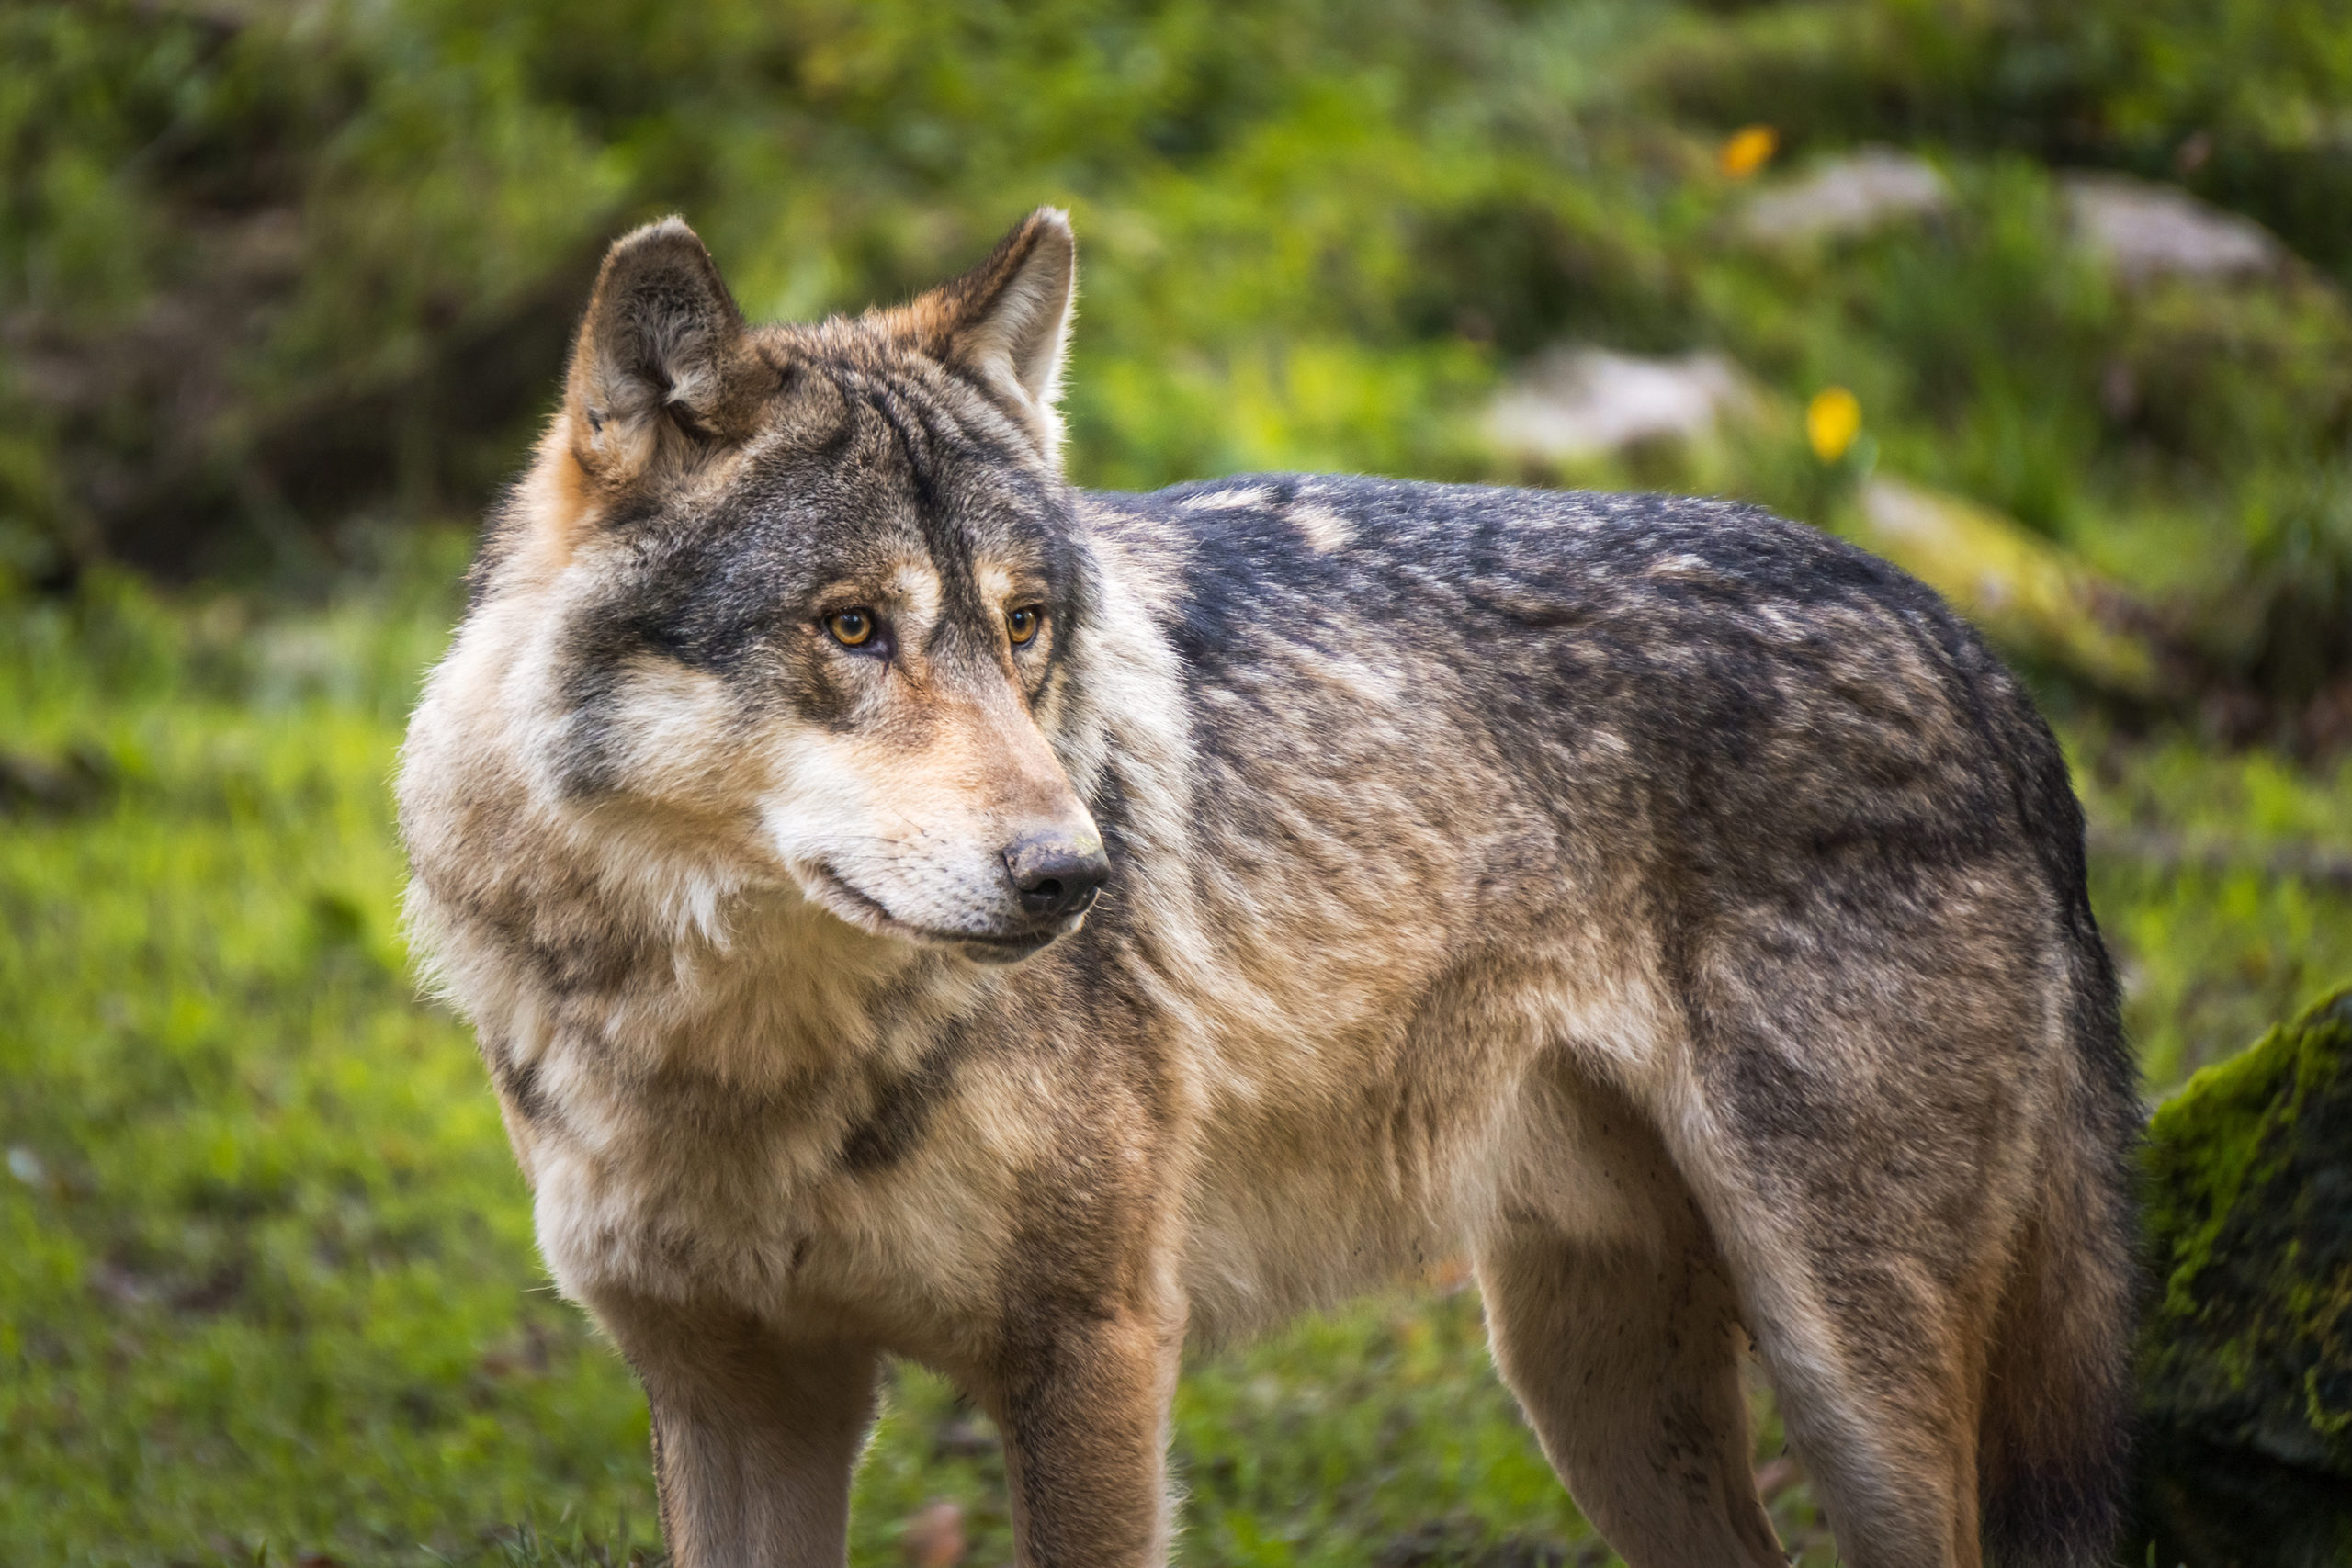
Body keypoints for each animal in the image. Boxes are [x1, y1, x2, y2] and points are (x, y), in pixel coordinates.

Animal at [397, 207, 2140, 1568]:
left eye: (1023, 625)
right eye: (849, 627)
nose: (1076, 874)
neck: (736, 1044)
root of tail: (1972, 645)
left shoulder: (1095, 1348)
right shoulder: (735, 1392)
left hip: (1837, 1366)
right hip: (1585, 1372)